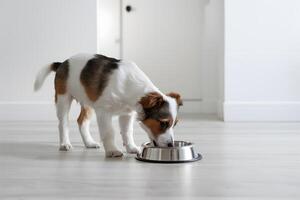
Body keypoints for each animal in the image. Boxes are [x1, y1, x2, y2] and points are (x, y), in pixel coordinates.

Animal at [34, 54, 182, 157]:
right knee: (63, 123)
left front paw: (131, 147)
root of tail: (62, 63)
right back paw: (65, 144)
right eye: (163, 123)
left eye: (174, 124)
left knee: (81, 121)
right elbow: (109, 132)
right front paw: (112, 150)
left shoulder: (126, 114)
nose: (171, 145)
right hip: (63, 99)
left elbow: (127, 132)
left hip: (88, 103)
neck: (131, 86)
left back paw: (89, 143)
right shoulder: (104, 112)